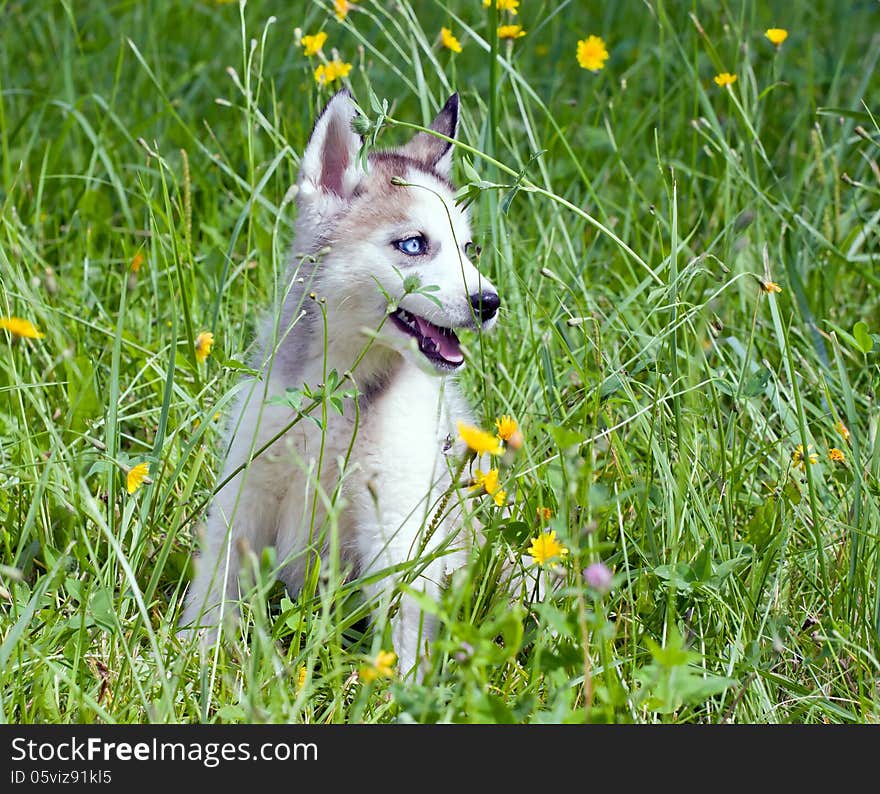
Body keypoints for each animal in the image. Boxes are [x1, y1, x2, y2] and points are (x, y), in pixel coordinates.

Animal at [182, 91, 498, 676]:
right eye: (414, 244)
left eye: (470, 250)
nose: (489, 302)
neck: (338, 392)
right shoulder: (246, 495)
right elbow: (216, 585)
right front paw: (188, 659)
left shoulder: (394, 520)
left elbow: (404, 620)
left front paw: (402, 687)